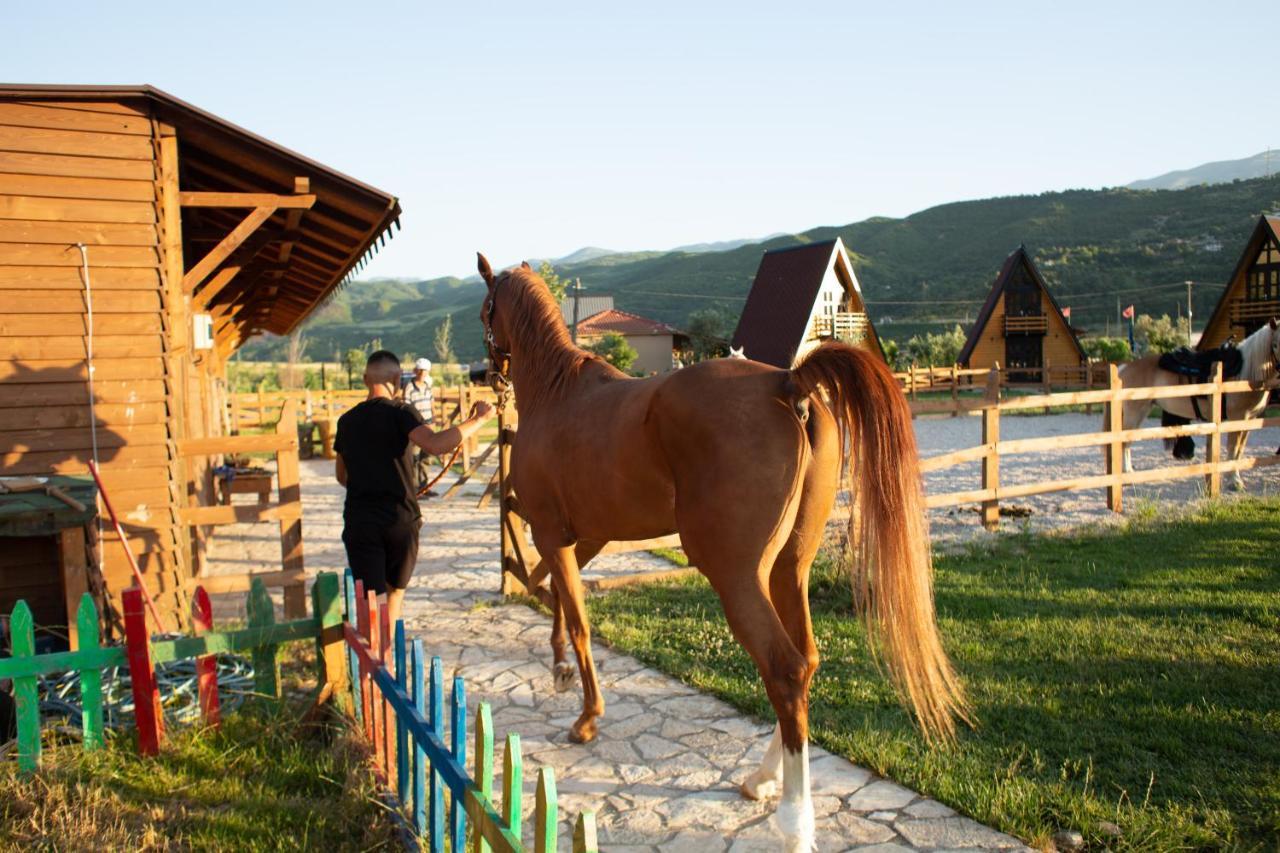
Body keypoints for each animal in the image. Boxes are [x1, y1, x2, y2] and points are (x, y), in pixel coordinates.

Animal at [476, 253, 962, 845]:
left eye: (487, 308)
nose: (484, 374)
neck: (557, 392)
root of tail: (788, 382)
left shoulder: (552, 531)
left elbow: (577, 617)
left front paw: (587, 716)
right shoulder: (580, 536)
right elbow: (557, 598)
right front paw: (560, 666)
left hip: (734, 573)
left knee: (784, 669)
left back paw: (794, 821)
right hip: (788, 568)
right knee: (806, 660)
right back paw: (763, 778)